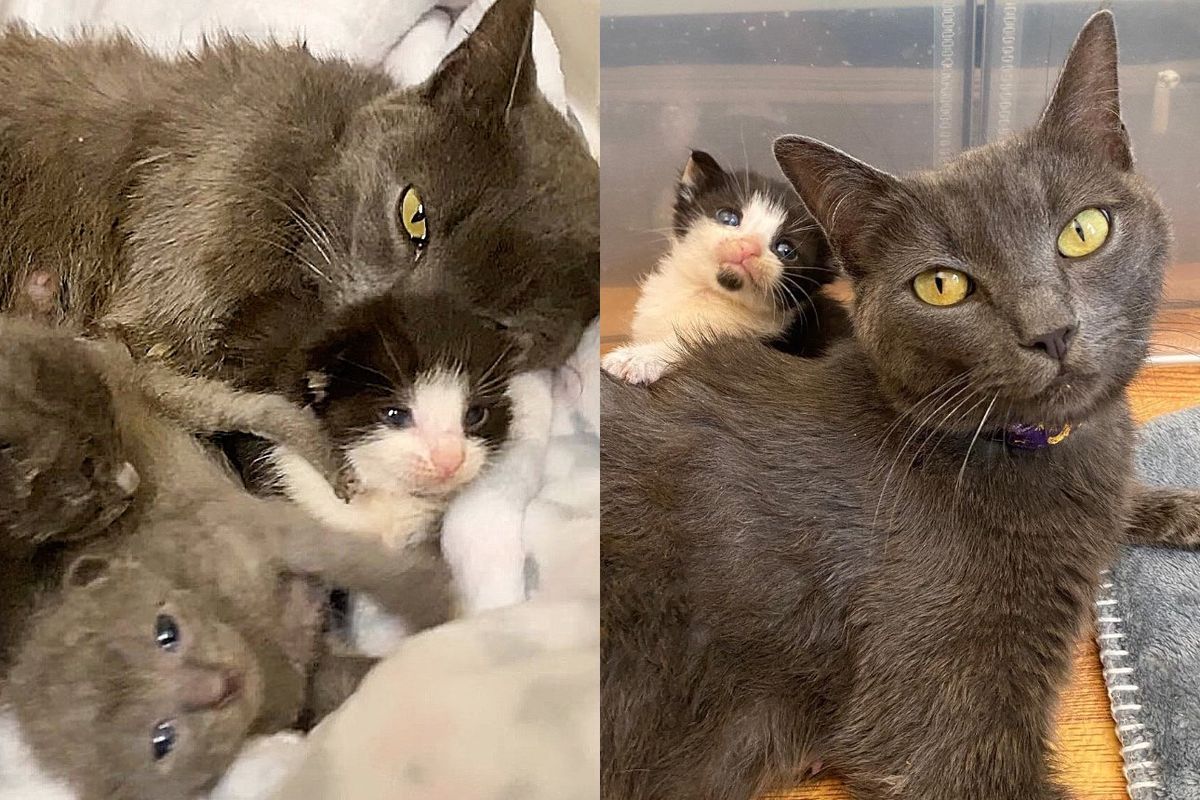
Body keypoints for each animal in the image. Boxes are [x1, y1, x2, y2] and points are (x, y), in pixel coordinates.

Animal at [600, 151, 844, 388]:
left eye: (785, 250)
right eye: (728, 218)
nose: (748, 247)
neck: (708, 294)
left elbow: (693, 347)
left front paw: (637, 358)